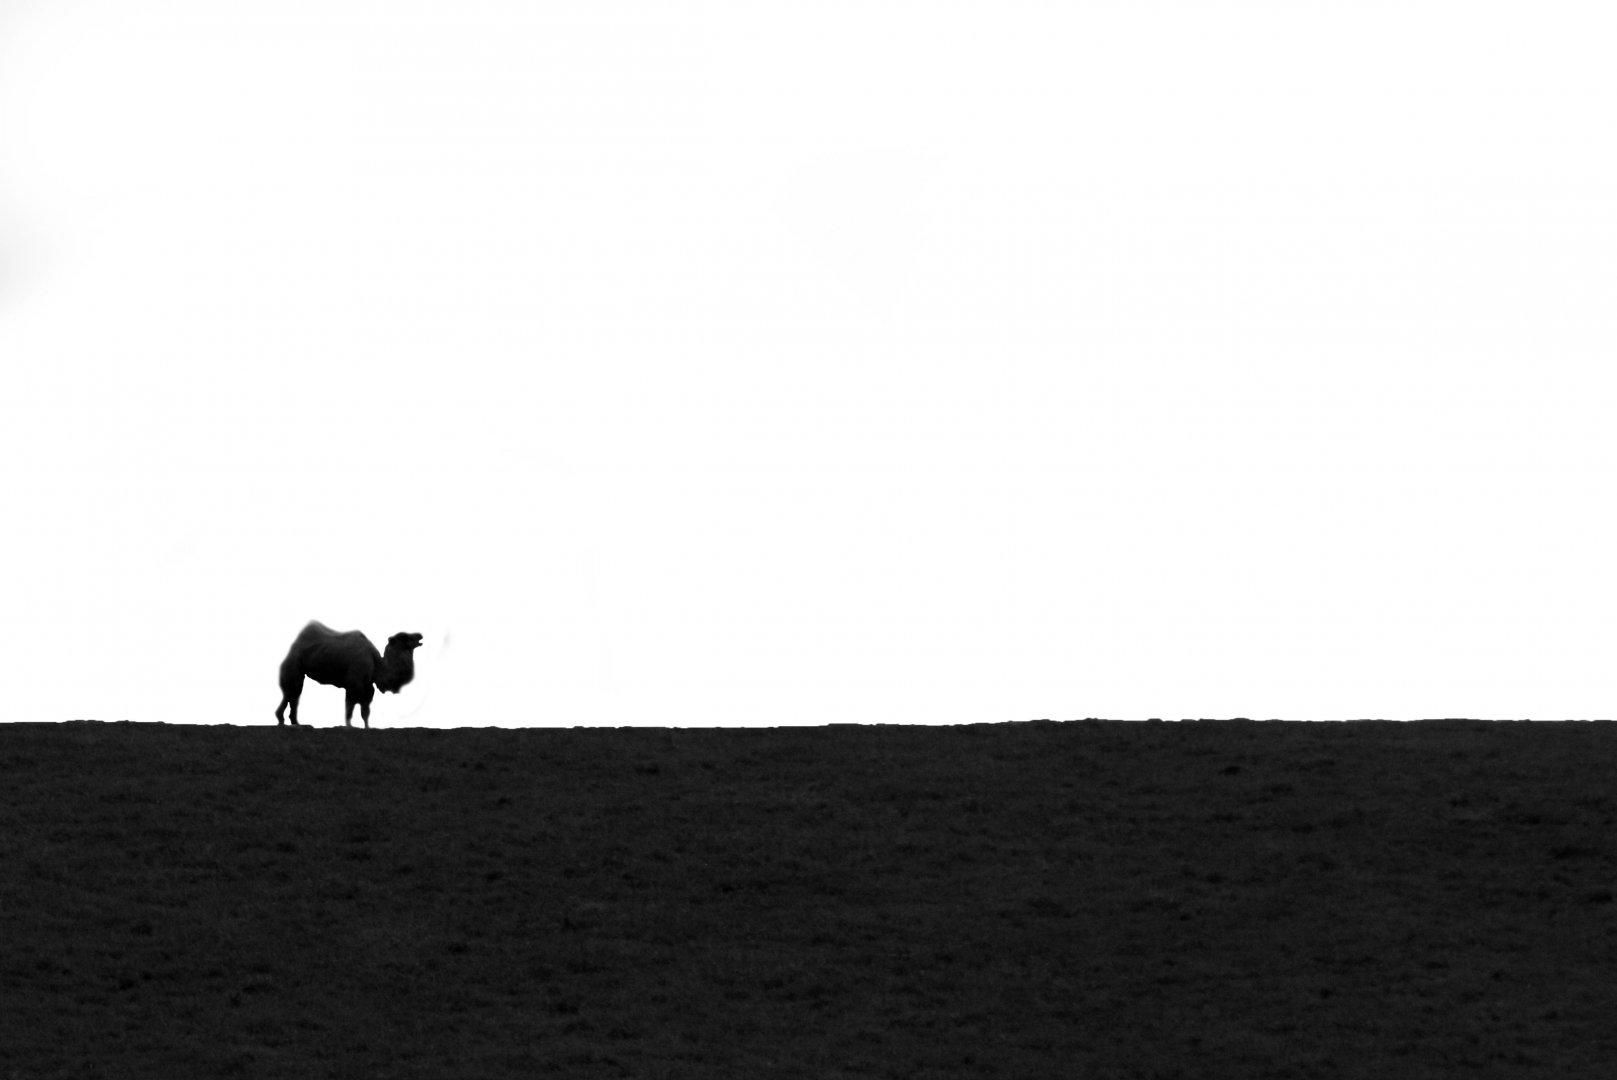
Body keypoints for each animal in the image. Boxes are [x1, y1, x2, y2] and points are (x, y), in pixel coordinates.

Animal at [275, 621, 424, 729]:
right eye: (404, 637)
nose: (420, 635)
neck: (377, 665)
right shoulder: (354, 685)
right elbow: (349, 709)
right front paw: (349, 727)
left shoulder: (368, 689)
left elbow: (365, 713)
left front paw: (368, 728)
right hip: (293, 667)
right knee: (291, 693)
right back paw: (284, 722)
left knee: (293, 697)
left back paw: (295, 723)